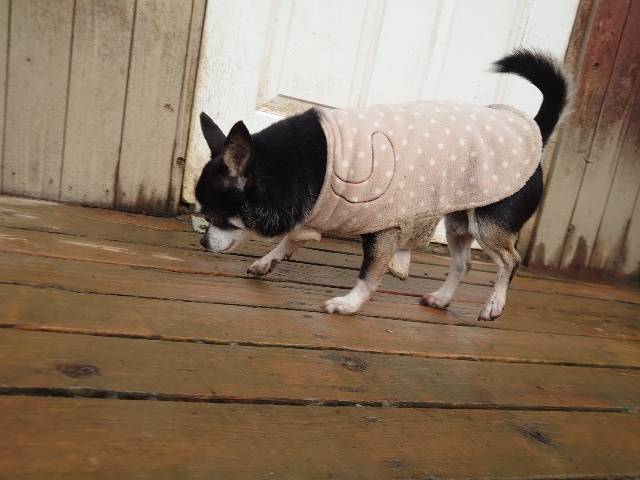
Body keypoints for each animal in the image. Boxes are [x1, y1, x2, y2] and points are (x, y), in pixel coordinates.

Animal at [194, 49, 572, 321]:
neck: (295, 164)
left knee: (510, 261)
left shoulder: (382, 230)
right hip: (458, 223)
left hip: (489, 225)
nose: (202, 243)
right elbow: (291, 240)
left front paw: (348, 304)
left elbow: (369, 273)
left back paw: (494, 305)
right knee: (463, 264)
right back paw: (442, 298)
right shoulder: (313, 213)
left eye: (214, 218)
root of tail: (535, 132)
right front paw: (266, 261)